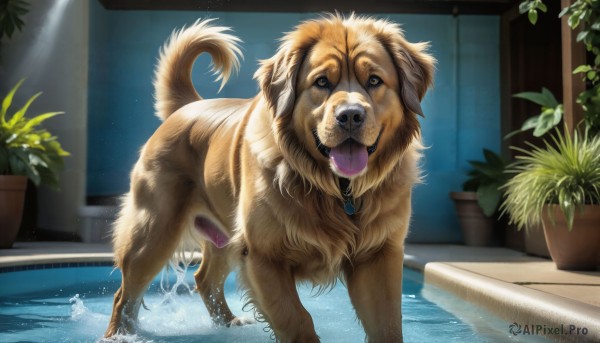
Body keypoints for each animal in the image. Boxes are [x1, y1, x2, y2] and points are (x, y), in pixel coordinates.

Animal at [105, 14, 434, 343]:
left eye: (374, 81)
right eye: (322, 82)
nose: (351, 115)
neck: (338, 191)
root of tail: (189, 106)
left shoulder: (378, 256)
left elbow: (387, 325)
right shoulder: (263, 256)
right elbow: (296, 320)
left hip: (221, 236)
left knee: (204, 279)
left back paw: (228, 322)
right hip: (152, 233)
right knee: (125, 295)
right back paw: (119, 334)